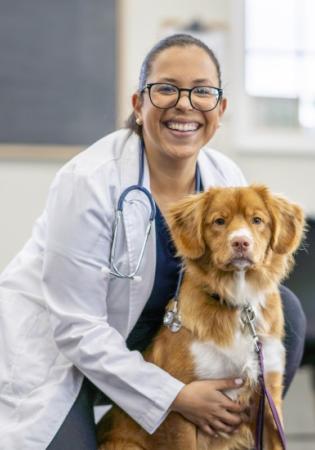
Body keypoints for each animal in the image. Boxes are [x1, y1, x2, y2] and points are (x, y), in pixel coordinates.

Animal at [97, 184, 306, 450]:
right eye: (219, 221)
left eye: (257, 220)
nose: (241, 242)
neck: (237, 302)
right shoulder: (184, 406)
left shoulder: (268, 399)